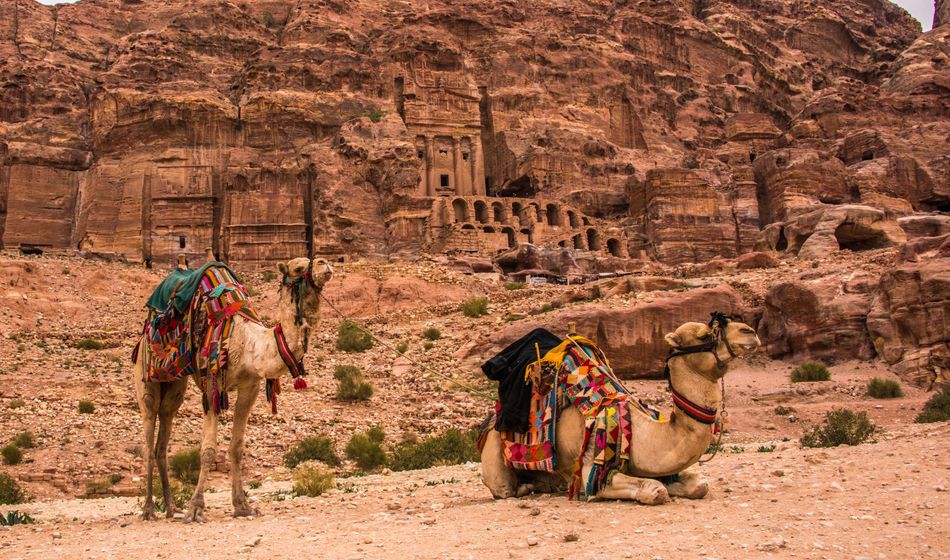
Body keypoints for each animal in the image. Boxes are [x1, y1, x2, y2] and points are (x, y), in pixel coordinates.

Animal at [136, 258, 332, 520]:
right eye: (298, 267)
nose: (324, 263)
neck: (251, 345)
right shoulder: (212, 385)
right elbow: (208, 450)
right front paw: (196, 508)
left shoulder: (250, 387)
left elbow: (237, 448)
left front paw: (242, 505)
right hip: (146, 371)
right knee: (148, 428)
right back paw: (149, 509)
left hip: (175, 384)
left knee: (164, 423)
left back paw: (170, 507)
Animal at [480, 318, 764, 506]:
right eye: (705, 335)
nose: (750, 331)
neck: (642, 432)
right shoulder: (590, 465)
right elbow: (655, 489)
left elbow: (699, 485)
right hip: (496, 461)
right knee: (504, 489)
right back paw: (527, 486)